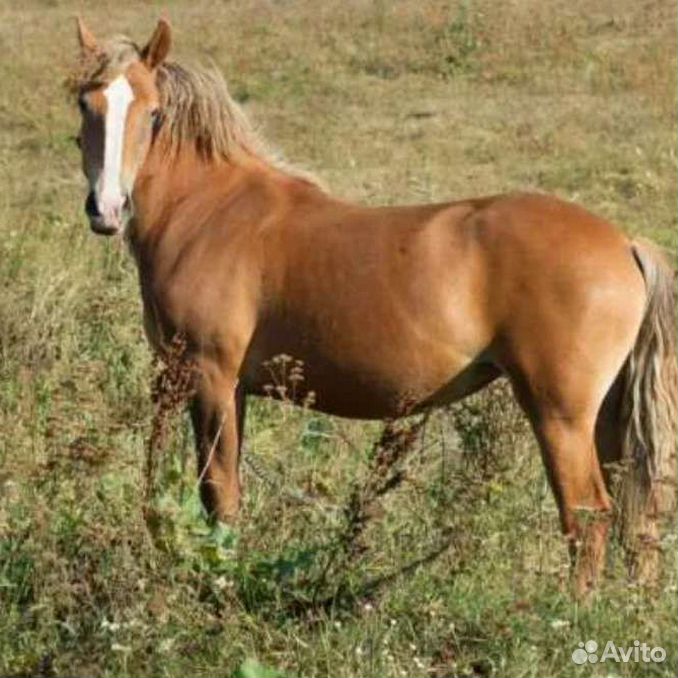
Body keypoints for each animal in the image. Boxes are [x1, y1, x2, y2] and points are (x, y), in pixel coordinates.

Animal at [71, 18, 677, 597]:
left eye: (152, 112)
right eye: (86, 102)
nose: (106, 209)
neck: (210, 211)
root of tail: (626, 243)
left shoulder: (211, 378)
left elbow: (219, 494)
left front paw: (220, 585)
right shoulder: (229, 389)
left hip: (561, 415)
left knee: (588, 515)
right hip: (608, 416)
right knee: (638, 512)